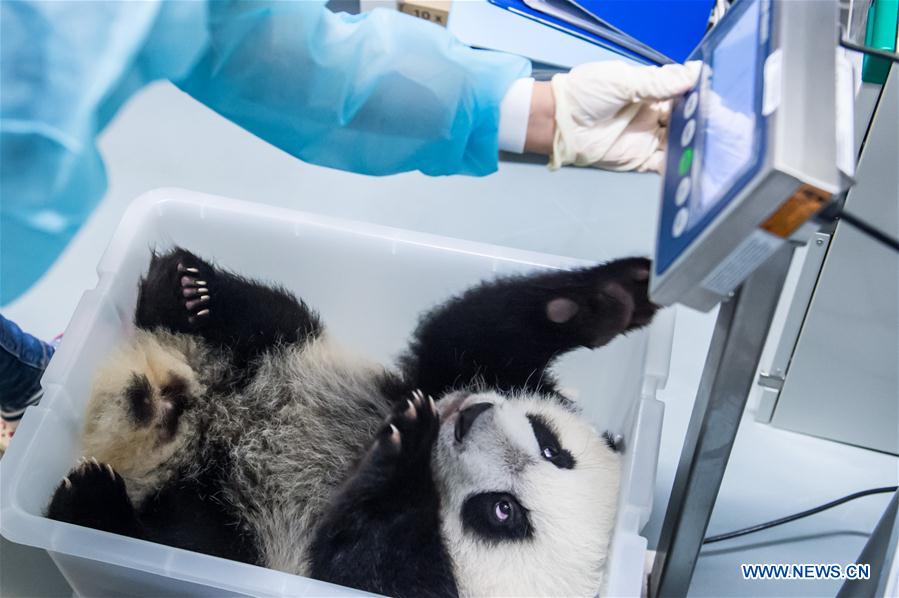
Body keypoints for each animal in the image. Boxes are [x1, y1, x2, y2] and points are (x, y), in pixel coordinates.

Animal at [46, 246, 657, 597]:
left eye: (501, 512)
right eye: (553, 447)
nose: (469, 415)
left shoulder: (393, 581)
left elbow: (354, 547)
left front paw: (403, 451)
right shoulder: (442, 374)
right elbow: (474, 332)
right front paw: (613, 296)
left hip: (227, 529)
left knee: (183, 538)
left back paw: (92, 497)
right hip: (290, 348)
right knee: (268, 316)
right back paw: (186, 292)